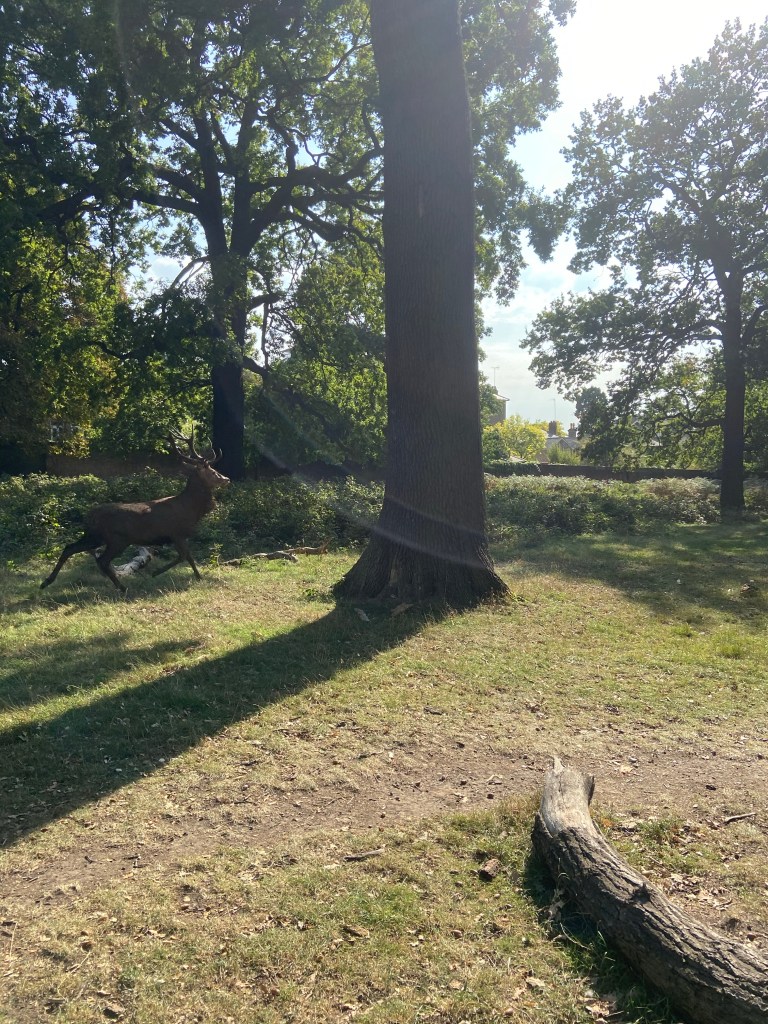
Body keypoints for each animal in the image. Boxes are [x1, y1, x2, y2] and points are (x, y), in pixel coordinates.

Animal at [40, 431, 230, 593]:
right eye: (212, 472)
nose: (226, 479)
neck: (191, 510)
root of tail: (90, 516)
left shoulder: (177, 535)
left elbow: (188, 557)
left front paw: (197, 577)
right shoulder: (177, 532)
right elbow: (185, 556)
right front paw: (157, 573)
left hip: (94, 536)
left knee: (69, 548)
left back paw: (46, 582)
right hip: (117, 539)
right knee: (102, 560)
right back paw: (122, 587)